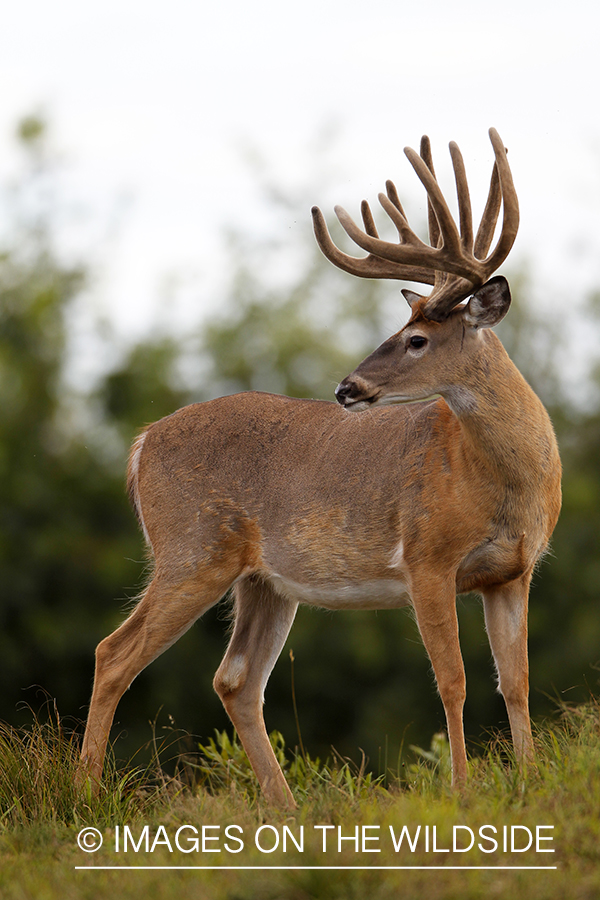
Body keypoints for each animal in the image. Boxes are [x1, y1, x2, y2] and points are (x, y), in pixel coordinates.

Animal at [79, 128, 564, 808]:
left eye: (417, 339)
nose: (347, 387)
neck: (504, 484)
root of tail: (142, 442)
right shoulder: (427, 558)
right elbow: (454, 680)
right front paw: (463, 791)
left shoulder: (513, 571)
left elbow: (515, 681)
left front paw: (526, 781)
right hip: (192, 549)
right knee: (113, 653)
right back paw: (83, 795)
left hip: (263, 580)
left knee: (234, 679)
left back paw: (283, 808)